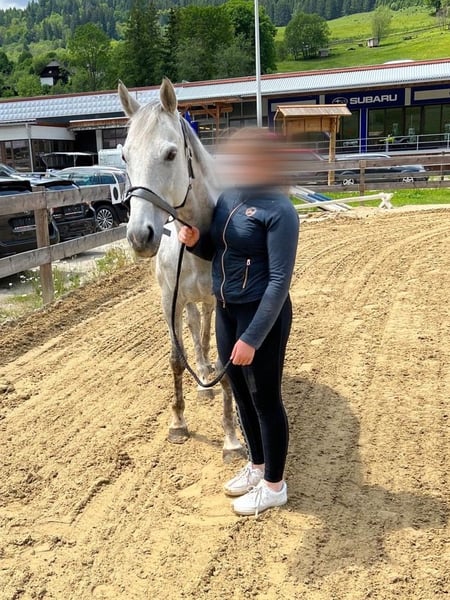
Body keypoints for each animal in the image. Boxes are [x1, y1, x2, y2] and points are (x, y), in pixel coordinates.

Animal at [118, 78, 243, 460]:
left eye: (171, 154)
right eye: (125, 156)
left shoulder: (223, 303)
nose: (140, 236)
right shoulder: (168, 301)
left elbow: (225, 364)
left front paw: (232, 438)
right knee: (195, 328)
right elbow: (177, 358)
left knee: (204, 332)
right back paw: (201, 379)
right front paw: (177, 423)